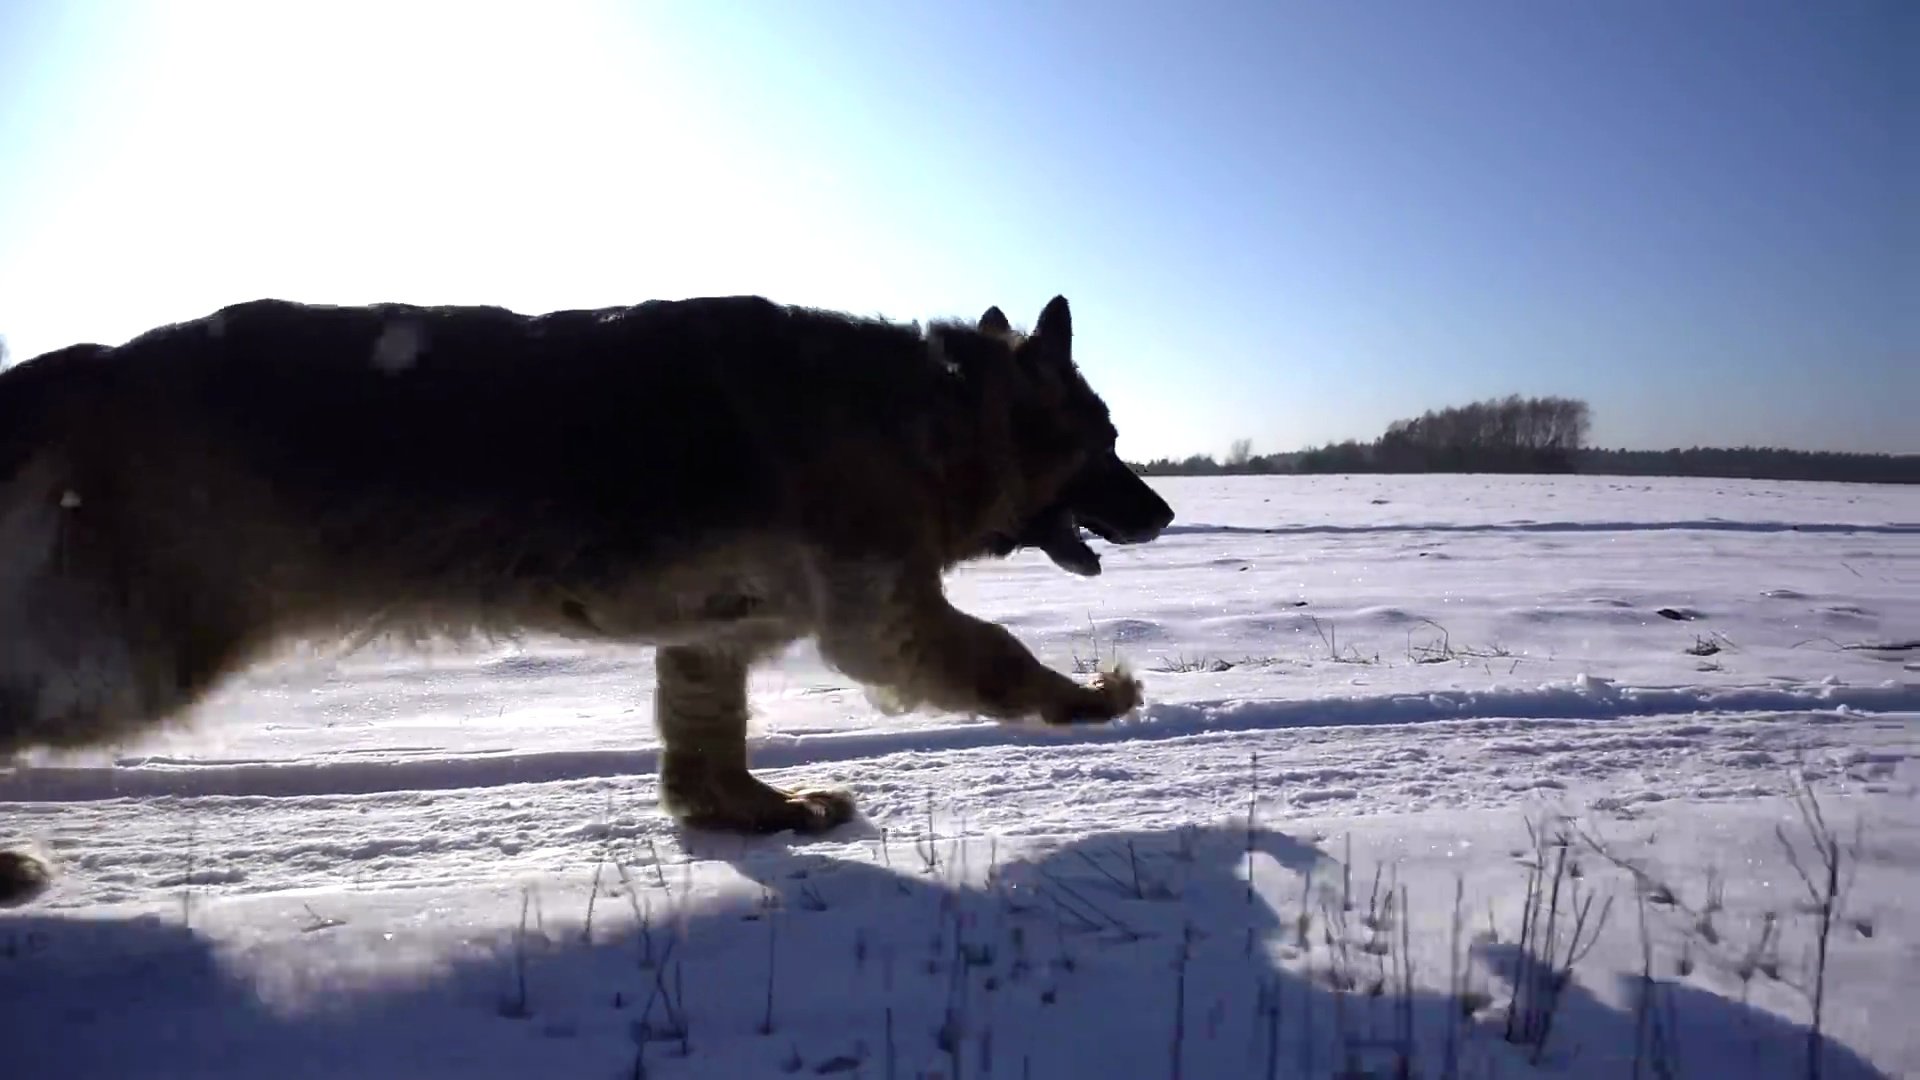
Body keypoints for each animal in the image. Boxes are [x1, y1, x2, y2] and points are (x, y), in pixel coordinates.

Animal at [0, 292, 1167, 899]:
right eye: (1107, 440)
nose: (1161, 512)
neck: (934, 407)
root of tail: (88, 363)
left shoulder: (711, 639)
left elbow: (707, 745)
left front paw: (750, 815)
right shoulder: (886, 615)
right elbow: (1002, 653)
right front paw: (1087, 699)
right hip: (132, 657)